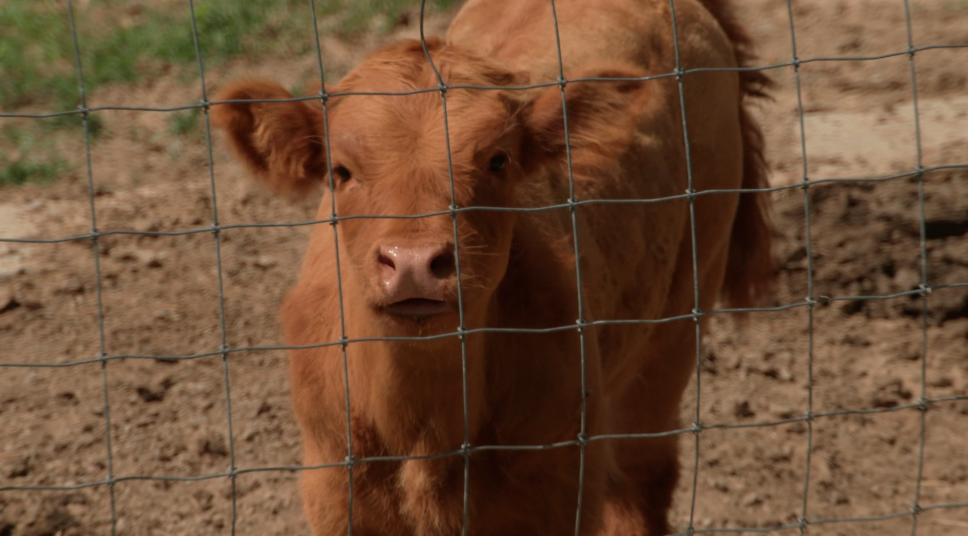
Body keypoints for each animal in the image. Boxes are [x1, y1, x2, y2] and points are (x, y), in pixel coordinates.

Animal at [212, 0, 773, 534]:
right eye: (340, 171)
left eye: (498, 160)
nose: (414, 263)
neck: (425, 434)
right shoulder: (334, 492)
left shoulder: (559, 488)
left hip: (677, 324)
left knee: (641, 478)